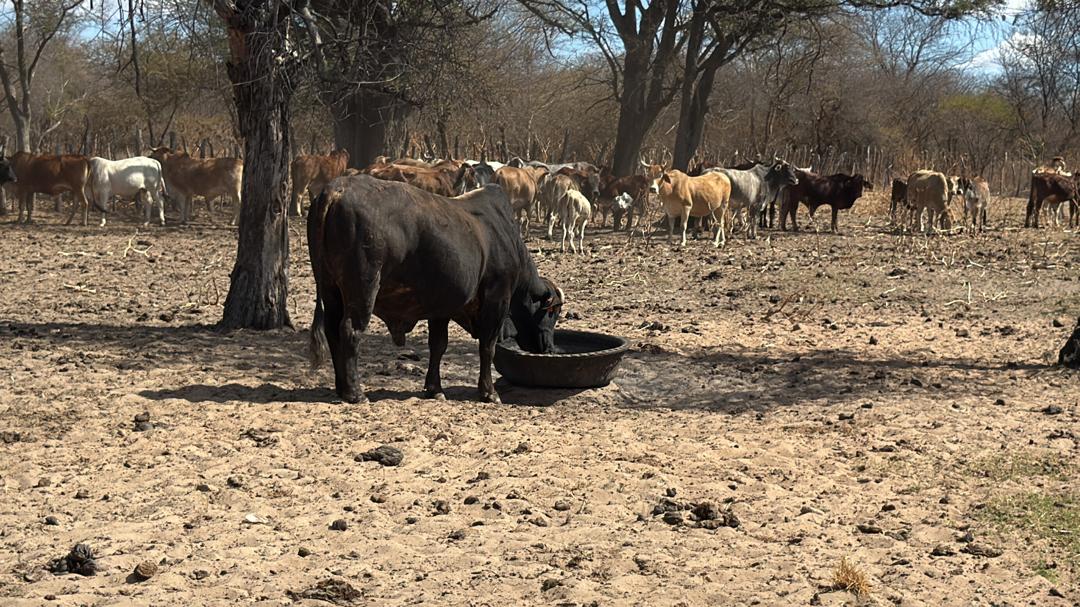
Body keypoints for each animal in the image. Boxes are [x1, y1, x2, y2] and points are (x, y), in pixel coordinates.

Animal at [307, 176, 563, 404]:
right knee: (350, 330)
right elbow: (487, 348)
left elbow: (438, 346)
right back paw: (355, 393)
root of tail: (335, 189)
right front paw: (489, 392)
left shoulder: (442, 308)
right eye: (552, 313)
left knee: (332, 330)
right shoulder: (497, 299)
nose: (549, 348)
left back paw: (341, 388)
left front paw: (434, 388)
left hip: (330, 289)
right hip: (363, 288)